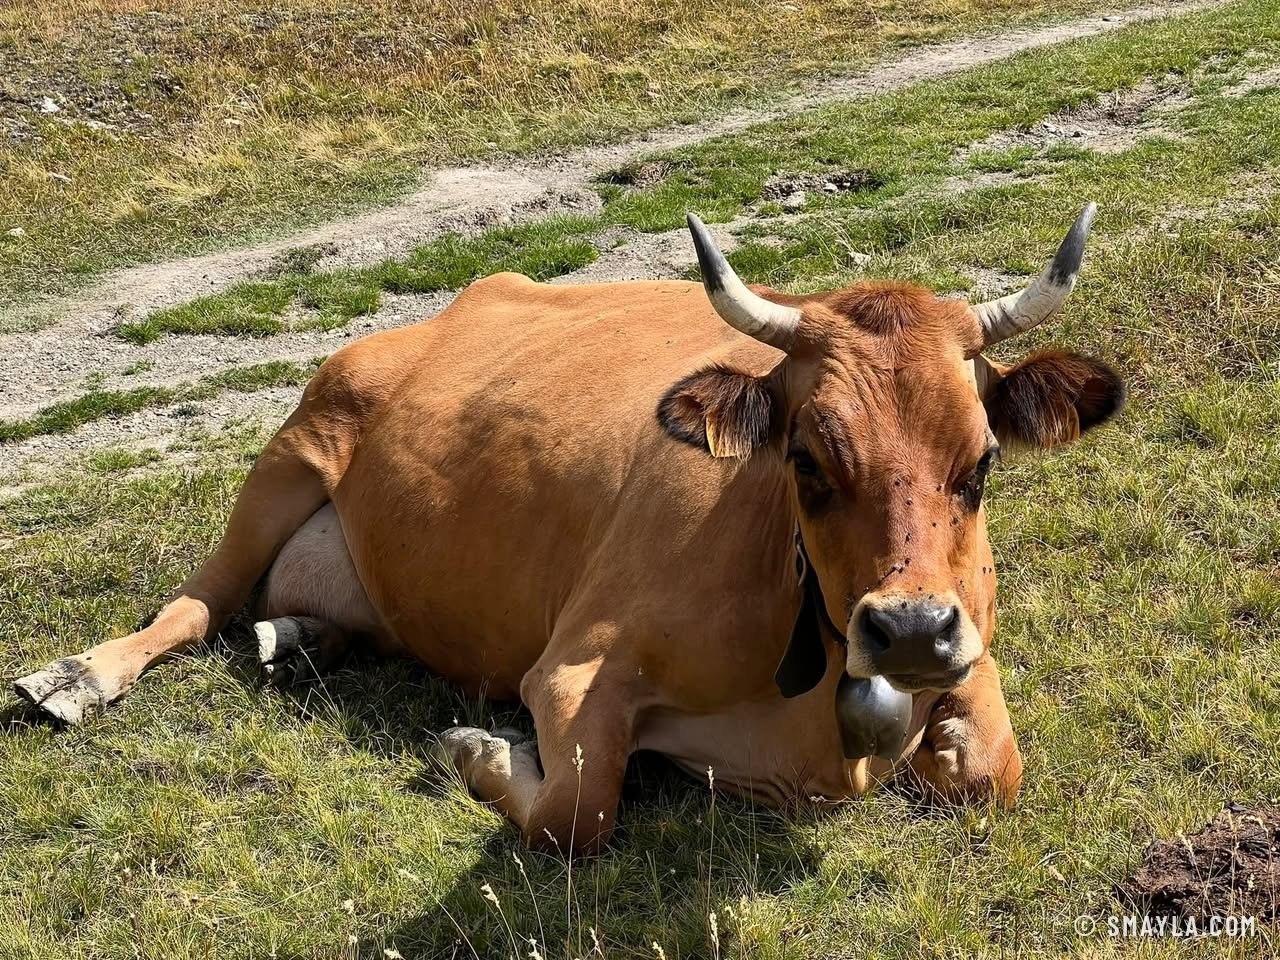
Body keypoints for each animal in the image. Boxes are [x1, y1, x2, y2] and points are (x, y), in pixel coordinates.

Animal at [14, 205, 1124, 854]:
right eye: (805, 462)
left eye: (982, 461)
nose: (907, 632)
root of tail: (472, 296)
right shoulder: (573, 667)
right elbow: (573, 814)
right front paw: (476, 749)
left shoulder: (972, 640)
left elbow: (993, 772)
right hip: (298, 441)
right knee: (196, 602)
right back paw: (78, 676)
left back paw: (296, 639)